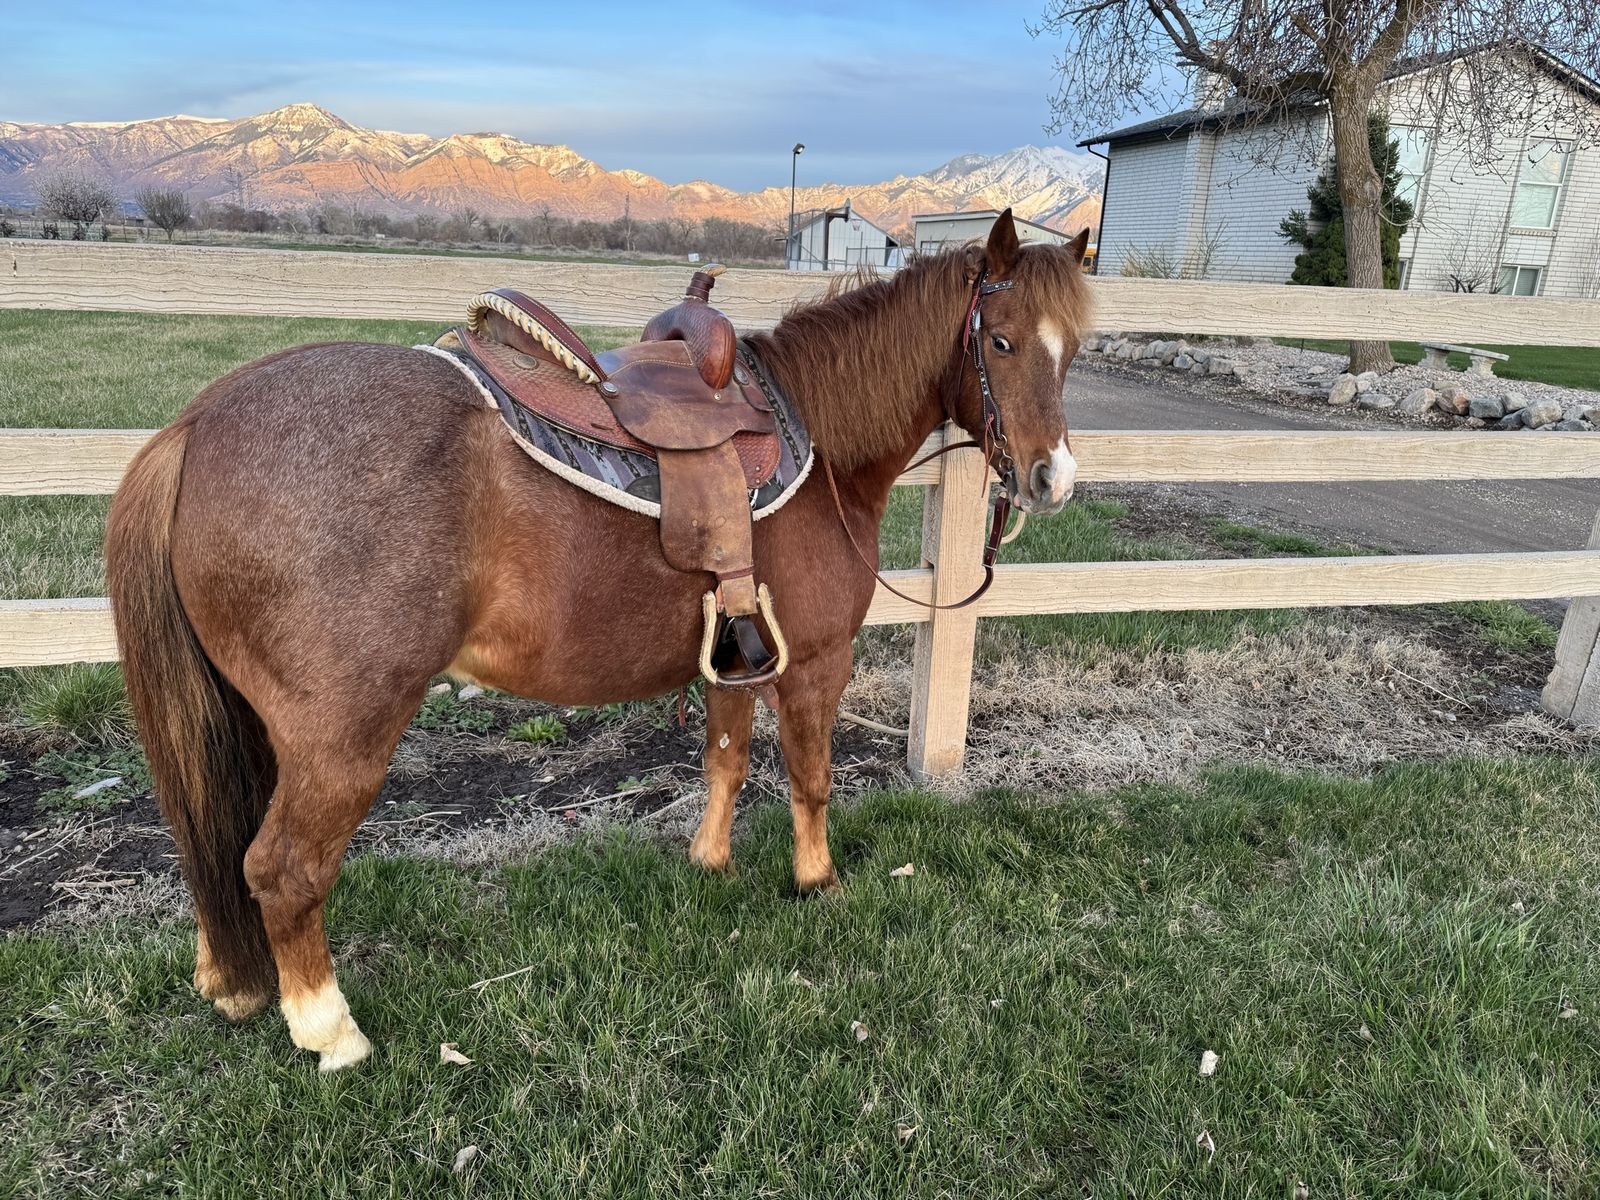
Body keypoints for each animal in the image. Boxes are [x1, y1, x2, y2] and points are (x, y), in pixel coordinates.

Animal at [104, 210, 1093, 1071]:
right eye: (1000, 343)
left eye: (1073, 349)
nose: (1053, 479)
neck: (816, 441)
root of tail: (196, 427)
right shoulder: (815, 664)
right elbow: (810, 778)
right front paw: (818, 882)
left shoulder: (734, 660)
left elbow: (727, 762)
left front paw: (709, 863)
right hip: (341, 737)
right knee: (281, 868)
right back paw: (329, 1030)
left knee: (216, 846)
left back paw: (230, 982)